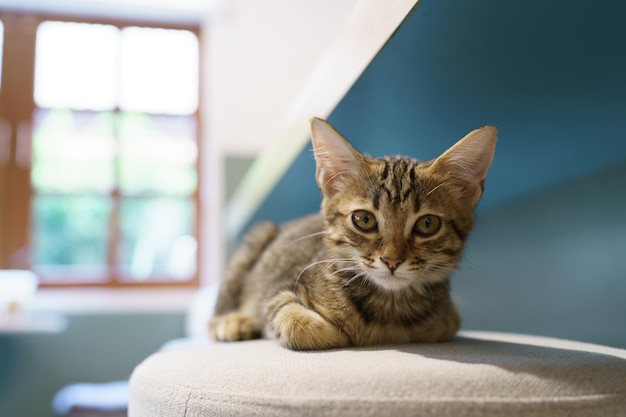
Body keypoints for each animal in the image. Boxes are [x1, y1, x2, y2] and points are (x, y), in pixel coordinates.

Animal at [212, 118, 494, 350]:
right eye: (364, 220)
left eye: (427, 224)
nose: (392, 261)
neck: (389, 307)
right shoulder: (278, 287)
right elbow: (289, 318)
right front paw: (335, 332)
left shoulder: (449, 317)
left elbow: (444, 325)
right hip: (256, 241)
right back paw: (232, 322)